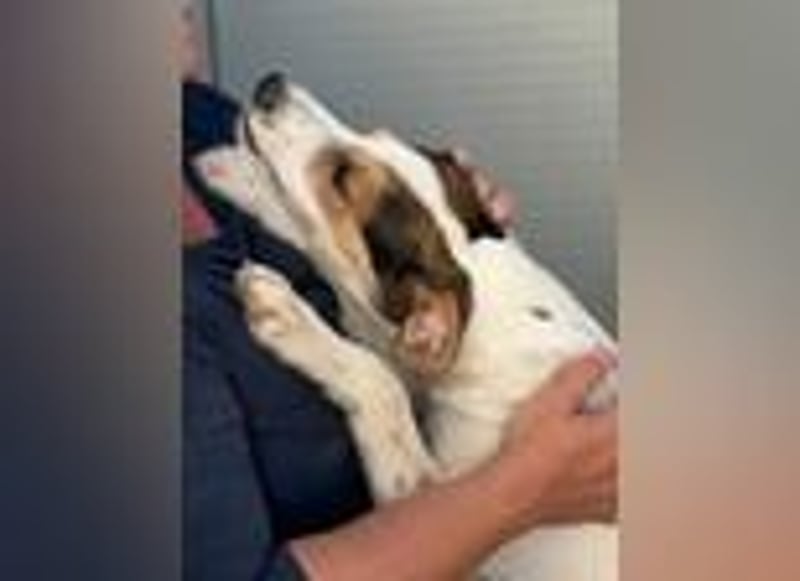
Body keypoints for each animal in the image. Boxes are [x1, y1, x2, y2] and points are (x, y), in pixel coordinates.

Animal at [195, 72, 618, 581]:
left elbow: (379, 381)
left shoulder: (435, 505)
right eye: (370, 134)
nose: (269, 83)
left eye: (341, 180)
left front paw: (287, 314)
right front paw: (233, 172)